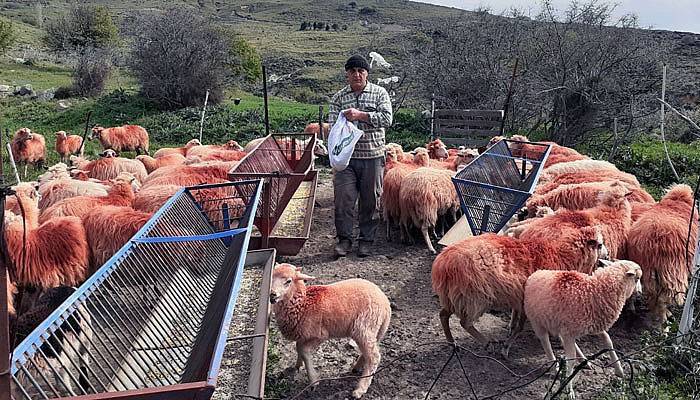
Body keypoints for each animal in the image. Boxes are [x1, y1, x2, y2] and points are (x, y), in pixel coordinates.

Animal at [268, 264, 392, 398]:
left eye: (288, 281)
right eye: (272, 277)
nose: (272, 295)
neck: (303, 303)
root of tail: (385, 302)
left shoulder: (320, 335)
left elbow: (304, 351)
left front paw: (313, 380)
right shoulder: (304, 334)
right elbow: (298, 347)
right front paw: (297, 365)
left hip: (364, 328)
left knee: (374, 357)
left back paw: (360, 389)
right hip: (375, 330)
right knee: (369, 353)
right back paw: (357, 367)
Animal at [430, 228, 604, 350]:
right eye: (600, 244)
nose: (605, 258)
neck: (562, 255)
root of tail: (443, 263)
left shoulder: (520, 298)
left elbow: (517, 321)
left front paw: (510, 331)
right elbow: (521, 326)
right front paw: (507, 346)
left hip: (454, 296)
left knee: (443, 315)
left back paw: (451, 342)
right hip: (474, 297)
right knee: (465, 323)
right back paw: (487, 344)